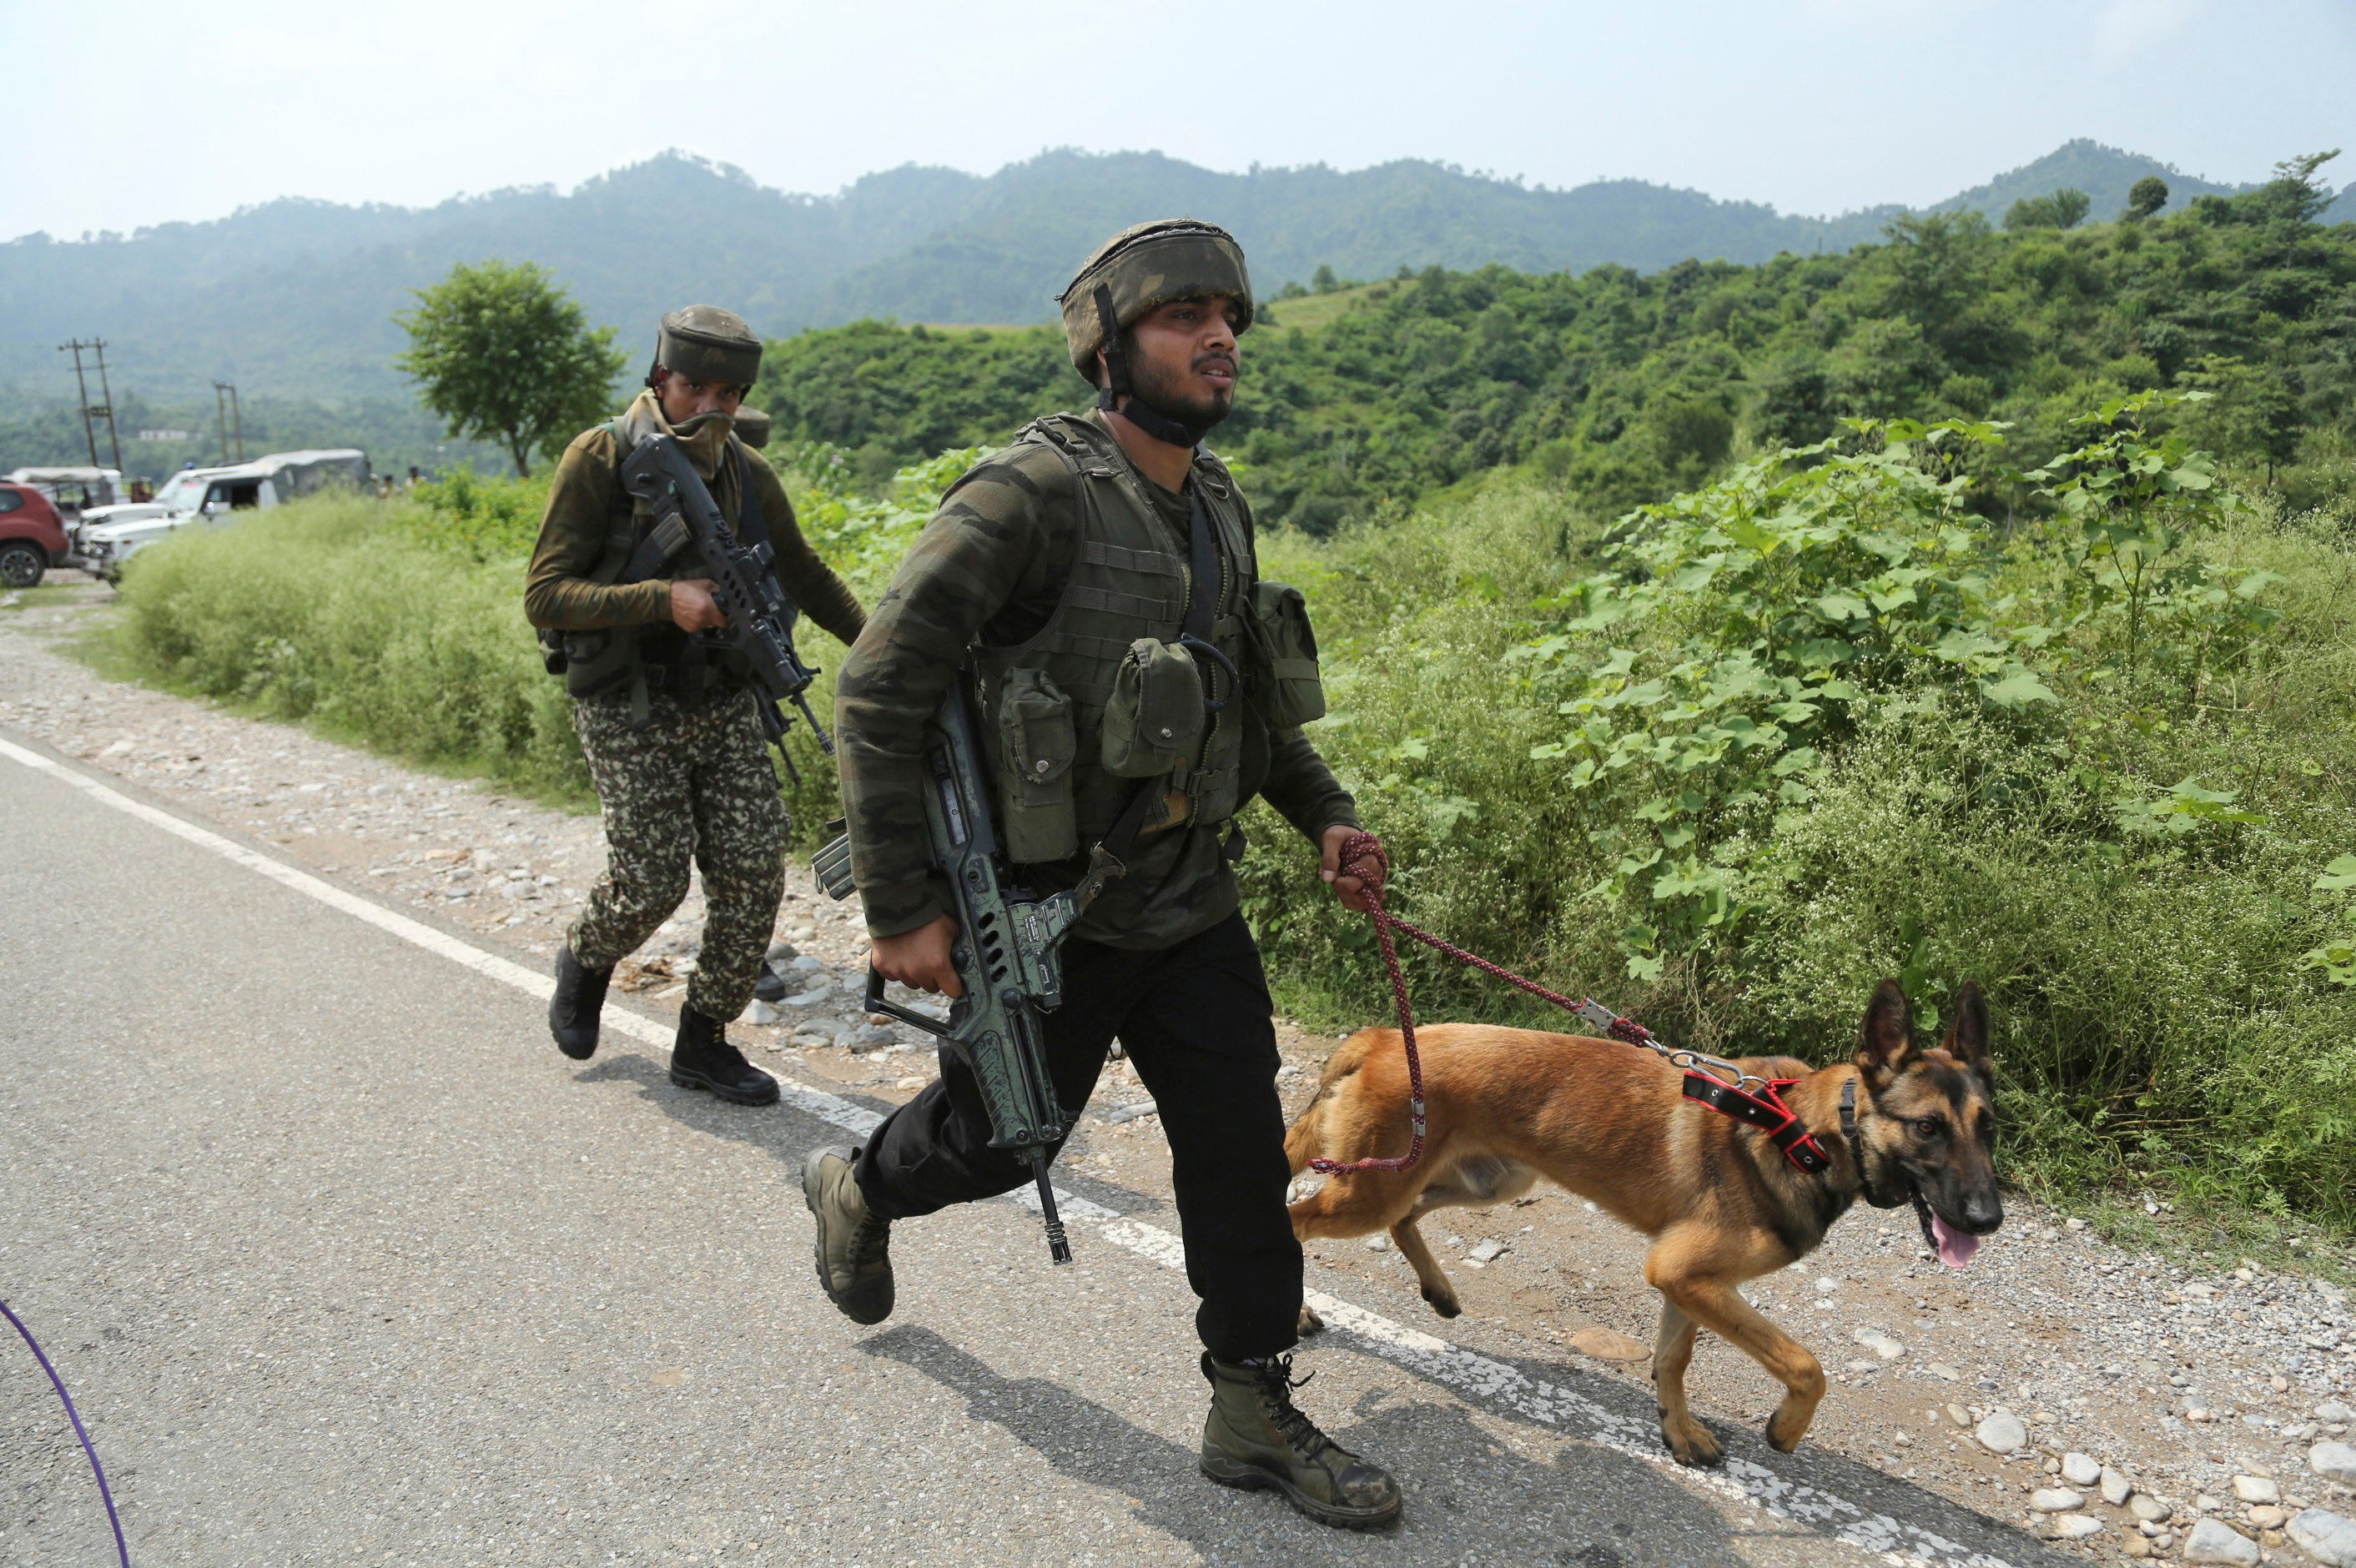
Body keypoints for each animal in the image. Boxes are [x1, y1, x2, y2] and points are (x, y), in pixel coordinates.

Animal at [1281, 970, 1997, 1460]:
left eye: (1989, 1127)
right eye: (1928, 1128)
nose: (1989, 1218)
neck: (1803, 1131)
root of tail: (1380, 1038)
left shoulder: (1690, 1280)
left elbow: (1673, 1361)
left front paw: (1679, 1433)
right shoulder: (1688, 1274)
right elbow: (1805, 1366)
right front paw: (1786, 1428)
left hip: (1486, 1182)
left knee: (1403, 1219)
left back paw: (1439, 1290)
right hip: (1373, 1191)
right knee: (1295, 1222)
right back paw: (1299, 1312)